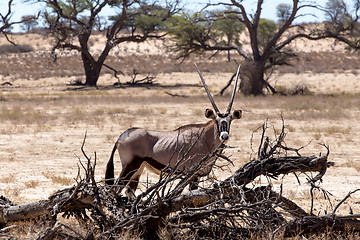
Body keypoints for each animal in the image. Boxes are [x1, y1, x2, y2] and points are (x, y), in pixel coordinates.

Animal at [105, 63, 243, 197]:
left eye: (230, 120)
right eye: (216, 120)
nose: (224, 136)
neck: (205, 138)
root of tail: (121, 137)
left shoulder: (197, 175)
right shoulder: (193, 174)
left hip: (138, 169)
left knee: (129, 191)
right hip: (130, 166)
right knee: (115, 189)